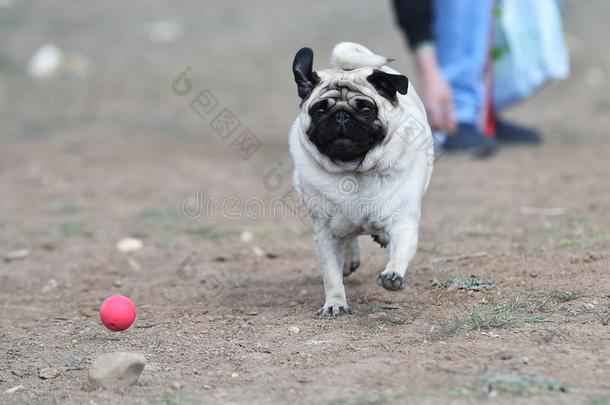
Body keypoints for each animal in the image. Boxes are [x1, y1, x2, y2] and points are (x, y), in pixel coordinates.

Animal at [288, 43, 432, 316]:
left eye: (365, 109)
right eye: (320, 109)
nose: (341, 116)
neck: (354, 170)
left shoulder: (403, 221)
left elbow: (401, 250)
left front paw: (392, 275)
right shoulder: (325, 234)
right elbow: (331, 274)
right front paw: (335, 303)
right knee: (349, 239)